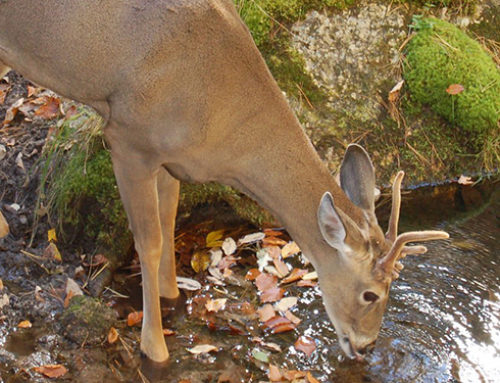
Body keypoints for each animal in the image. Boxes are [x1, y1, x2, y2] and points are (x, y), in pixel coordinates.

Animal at [0, 0, 450, 364]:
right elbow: (150, 241)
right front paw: (154, 348)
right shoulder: (129, 137)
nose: (367, 346)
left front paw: (172, 298)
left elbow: (168, 222)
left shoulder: (172, 159)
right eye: (371, 293)